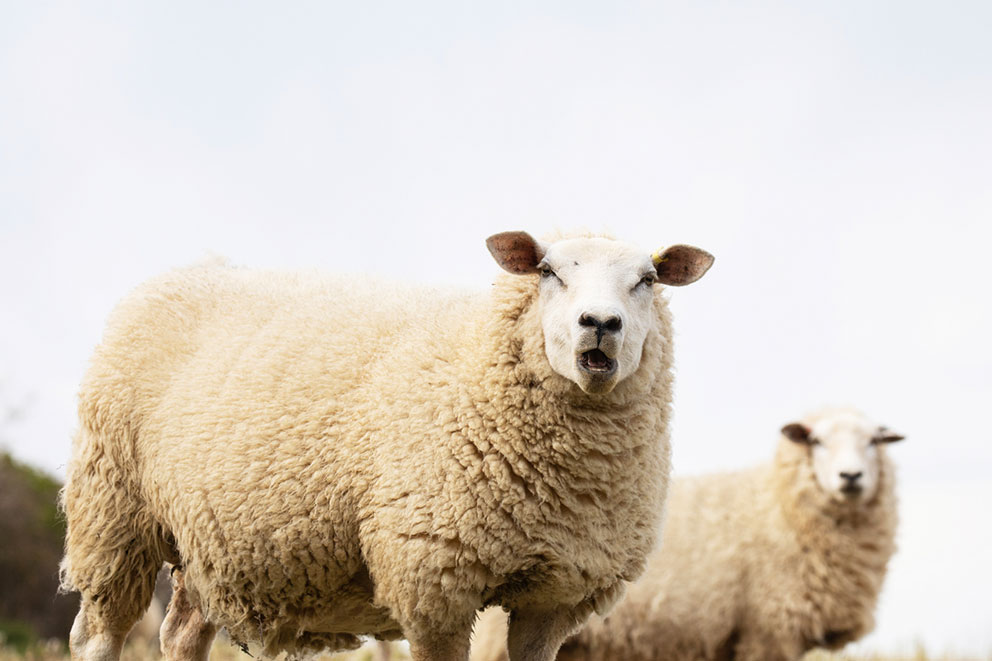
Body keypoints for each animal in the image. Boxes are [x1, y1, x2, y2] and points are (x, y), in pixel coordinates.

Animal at [59, 231, 714, 661]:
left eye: (647, 279)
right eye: (549, 271)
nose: (600, 324)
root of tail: (182, 273)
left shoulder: (553, 600)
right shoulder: (433, 580)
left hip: (205, 540)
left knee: (181, 635)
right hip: (113, 509)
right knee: (99, 634)